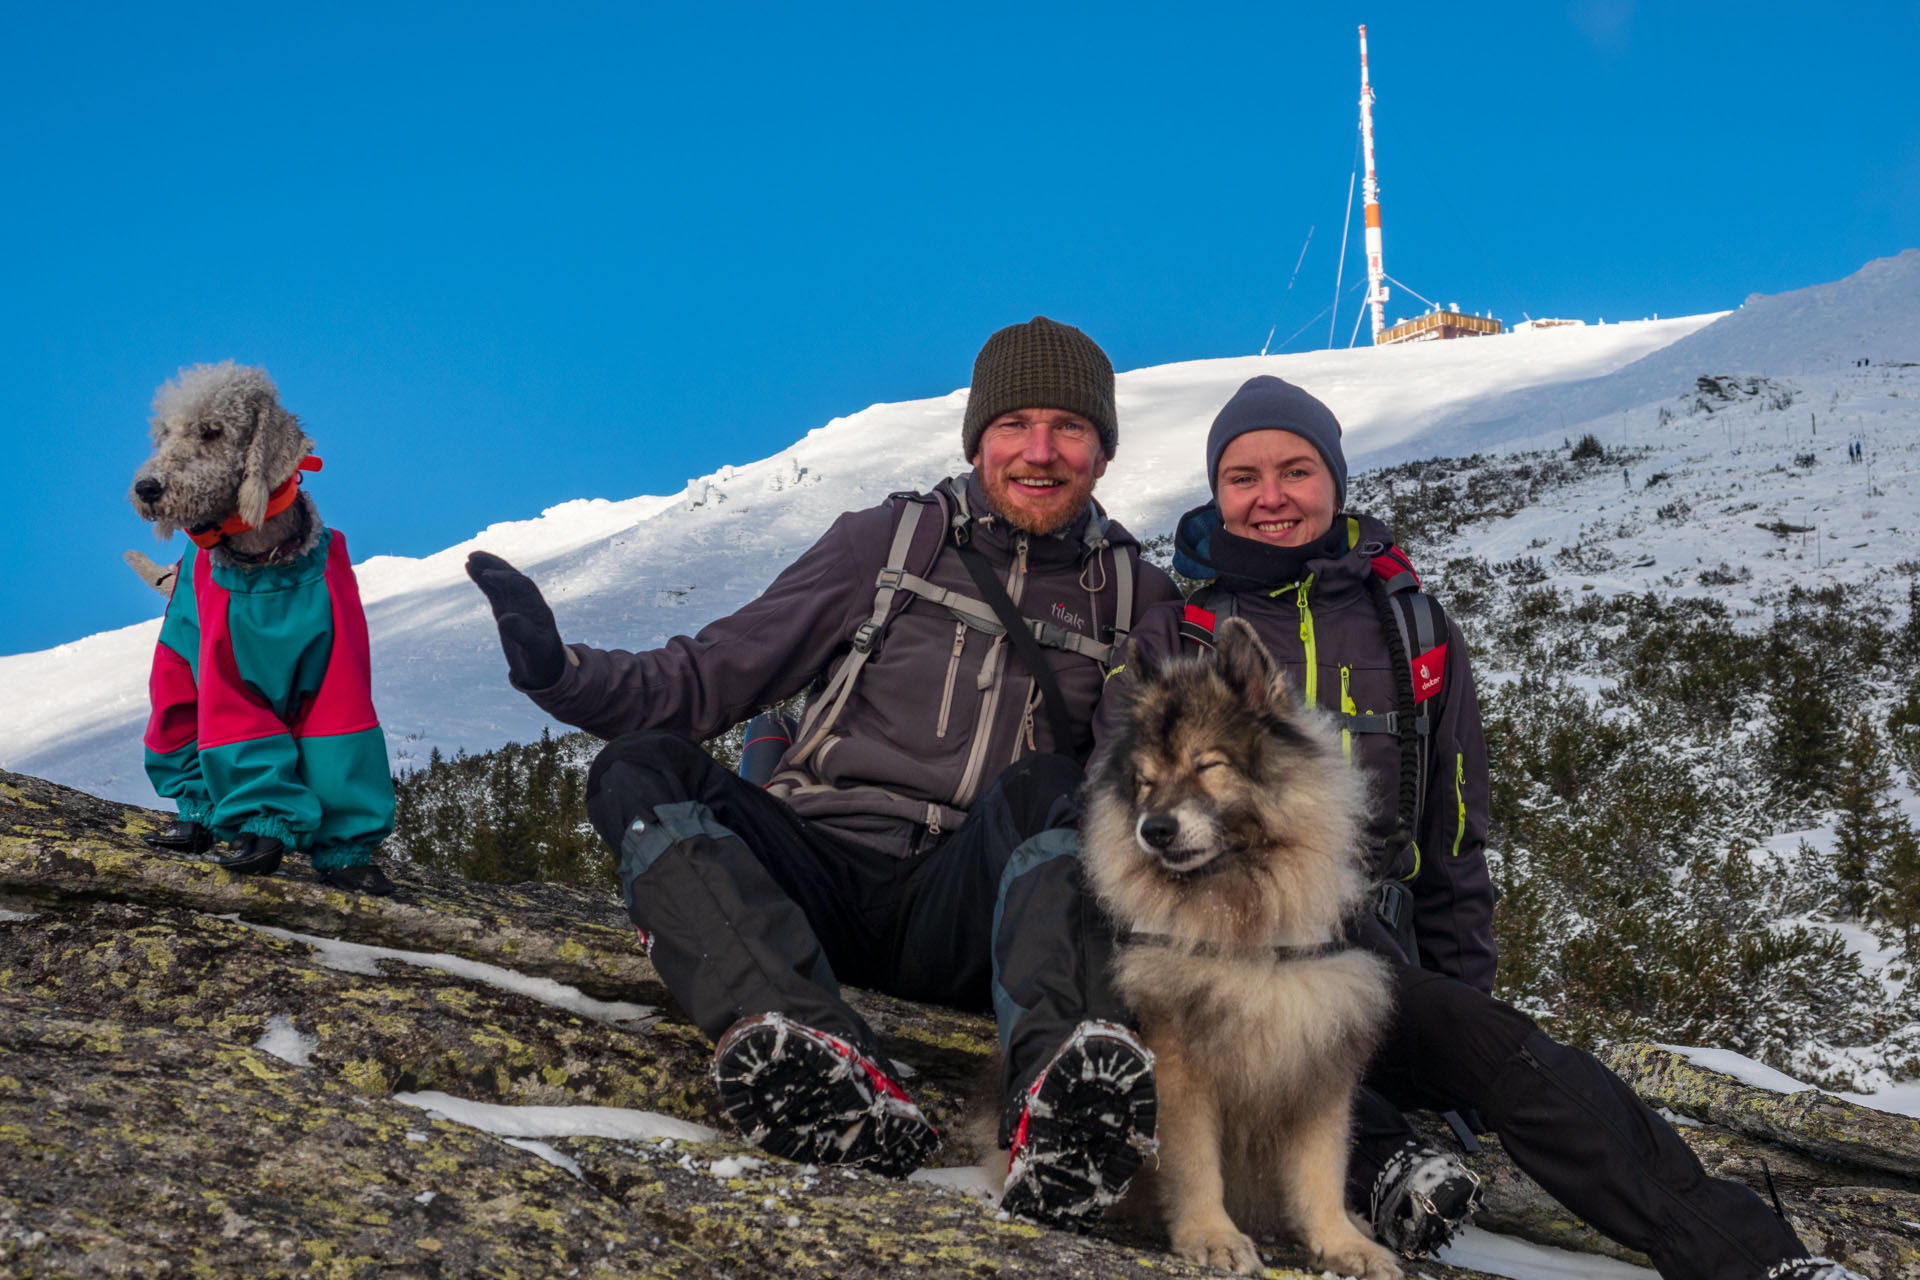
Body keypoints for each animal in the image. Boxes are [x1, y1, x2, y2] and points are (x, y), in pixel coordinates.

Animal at [126, 360, 397, 898]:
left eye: (212, 431)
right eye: (164, 433)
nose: (147, 488)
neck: (269, 564)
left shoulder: (338, 677)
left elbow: (342, 742)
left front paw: (351, 861)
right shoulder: (225, 675)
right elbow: (243, 742)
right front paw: (260, 837)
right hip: (178, 667)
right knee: (178, 738)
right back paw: (190, 825)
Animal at [1090, 614, 1405, 1274]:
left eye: (1208, 764)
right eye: (1145, 782)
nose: (1153, 830)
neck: (1250, 926)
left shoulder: (1321, 1057)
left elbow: (1321, 1170)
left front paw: (1343, 1243)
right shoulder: (1180, 1060)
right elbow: (1194, 1165)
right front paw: (1211, 1236)